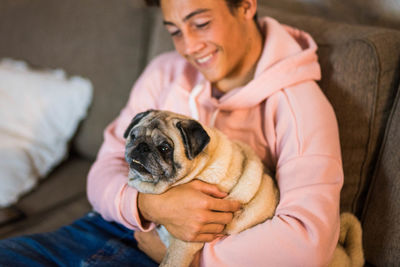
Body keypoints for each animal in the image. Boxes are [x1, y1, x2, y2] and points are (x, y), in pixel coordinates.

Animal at [124, 109, 278, 267]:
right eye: (133, 136)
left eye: (164, 148)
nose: (142, 146)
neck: (201, 167)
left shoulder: (183, 244)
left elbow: (169, 263)